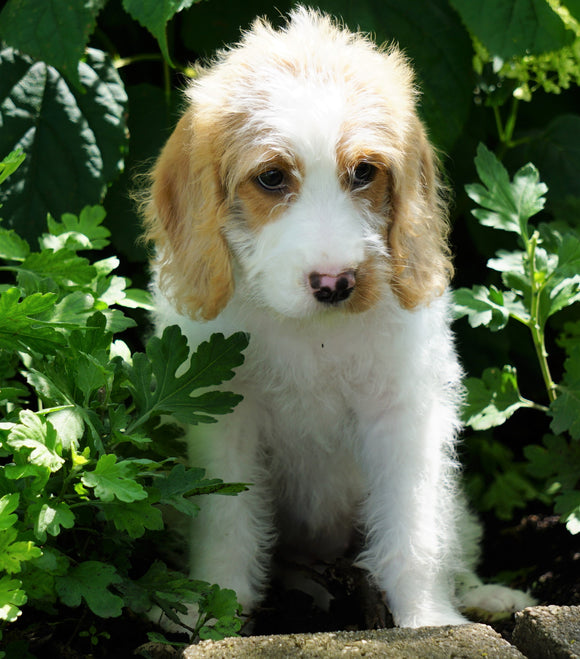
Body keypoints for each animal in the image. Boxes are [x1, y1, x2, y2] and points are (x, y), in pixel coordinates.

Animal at [144, 9, 536, 628]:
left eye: (365, 172)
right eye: (272, 178)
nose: (336, 283)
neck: (313, 336)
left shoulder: (404, 416)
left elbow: (413, 530)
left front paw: (428, 619)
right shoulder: (224, 417)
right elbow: (226, 522)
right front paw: (212, 605)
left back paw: (483, 595)